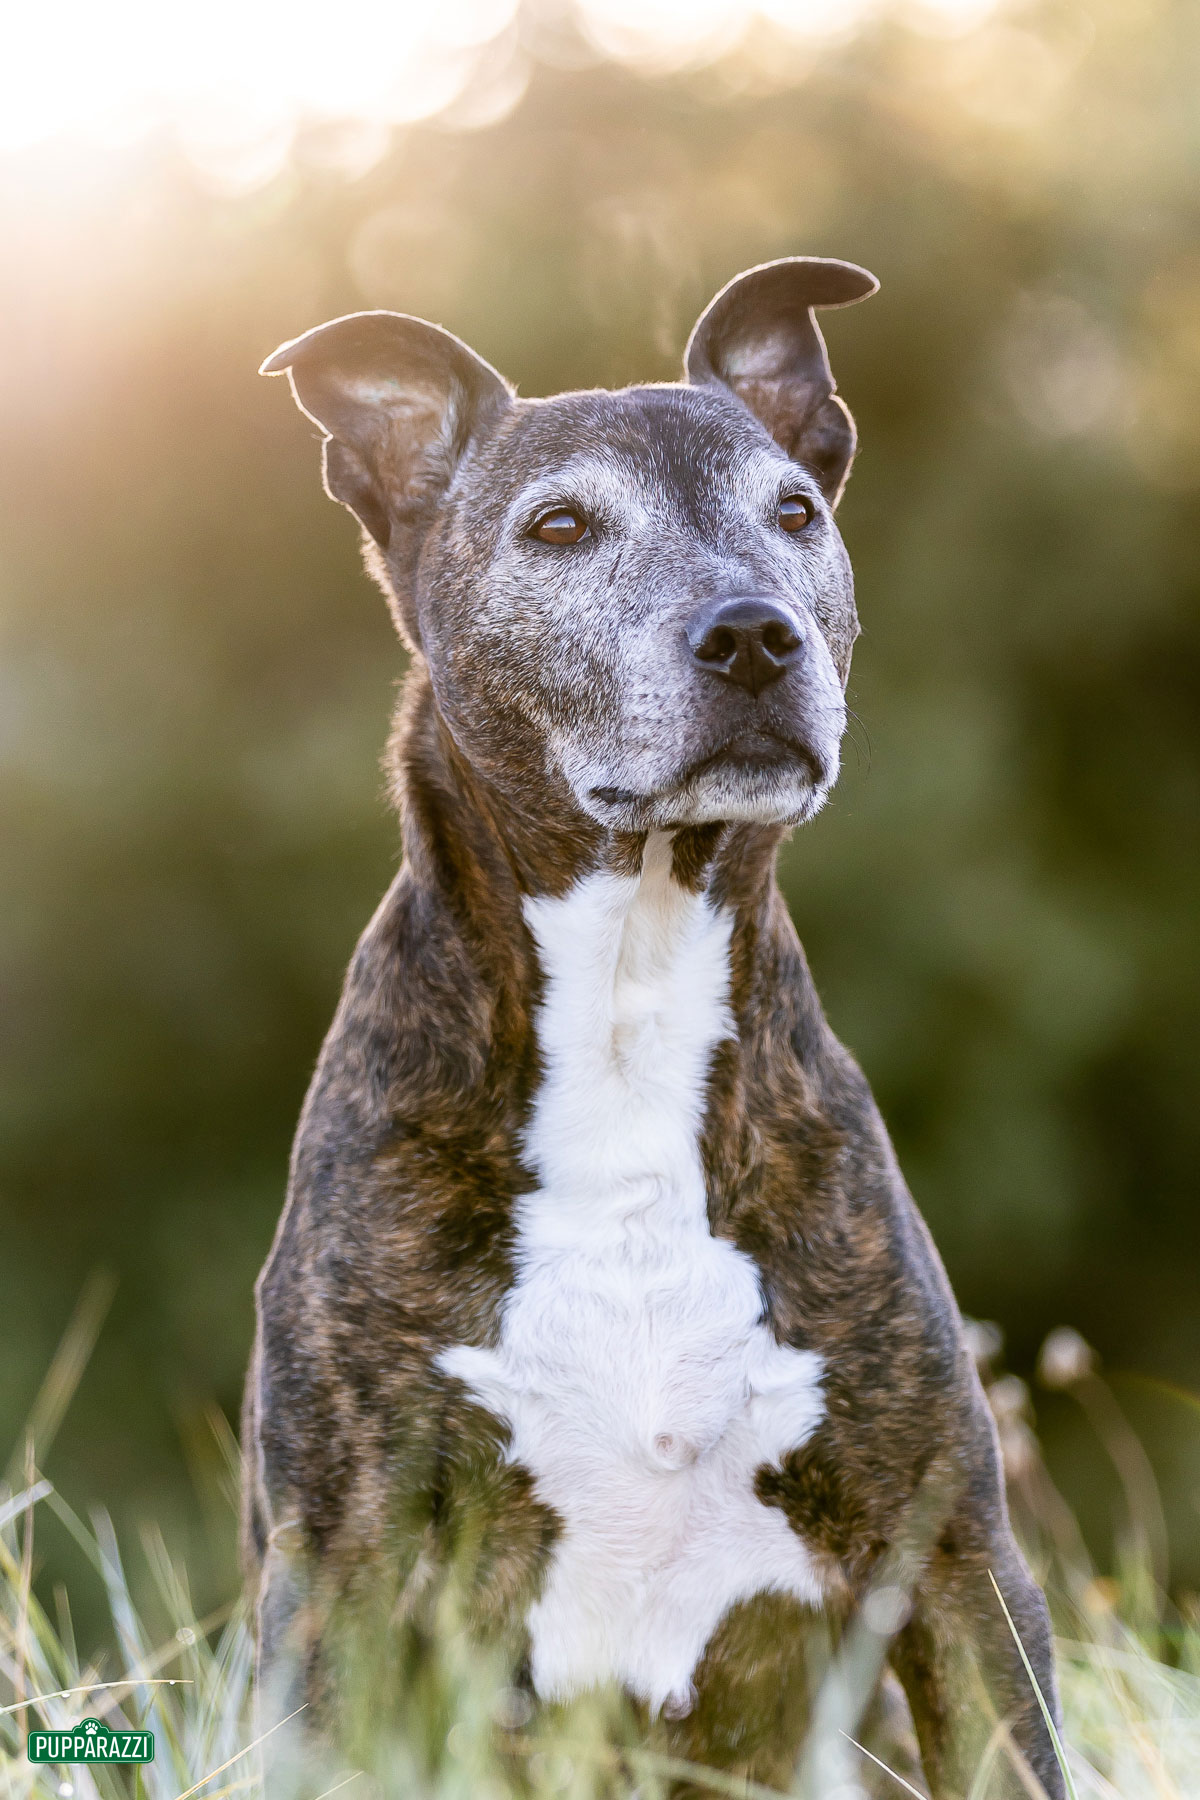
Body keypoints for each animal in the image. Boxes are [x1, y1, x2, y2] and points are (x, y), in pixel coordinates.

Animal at [241, 257, 1057, 1800]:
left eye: (794, 511)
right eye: (560, 524)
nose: (752, 633)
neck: (632, 982)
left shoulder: (954, 1561)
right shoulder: (341, 1575)